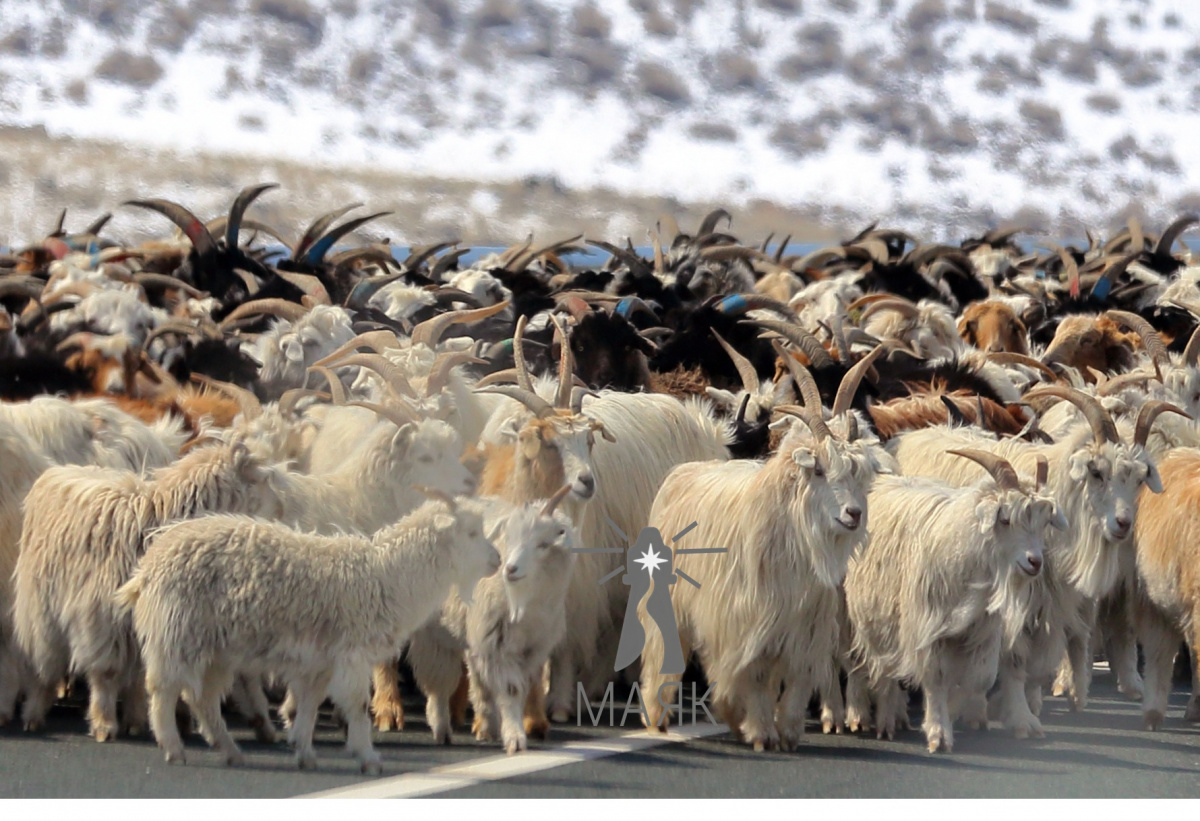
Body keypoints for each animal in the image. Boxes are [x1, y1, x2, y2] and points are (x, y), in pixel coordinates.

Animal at [12, 439, 294, 741]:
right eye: (261, 479)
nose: (281, 513)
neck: (158, 519)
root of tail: (58, 471)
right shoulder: (102, 619)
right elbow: (106, 673)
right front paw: (104, 724)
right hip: (41, 607)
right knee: (46, 663)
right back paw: (34, 713)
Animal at [117, 494, 501, 773]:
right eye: (470, 533)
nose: (497, 560)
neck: (386, 576)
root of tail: (147, 567)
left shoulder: (321, 661)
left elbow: (311, 702)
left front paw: (303, 749)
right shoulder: (351, 653)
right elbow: (356, 705)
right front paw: (368, 757)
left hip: (214, 649)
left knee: (202, 697)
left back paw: (229, 750)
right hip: (177, 633)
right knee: (164, 690)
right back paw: (174, 748)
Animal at [407, 485, 576, 753]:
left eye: (543, 544)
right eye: (509, 539)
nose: (510, 569)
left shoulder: (530, 649)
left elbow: (517, 689)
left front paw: (507, 730)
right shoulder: (498, 643)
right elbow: (511, 689)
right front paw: (515, 738)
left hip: (472, 632)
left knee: (477, 679)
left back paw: (486, 725)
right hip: (435, 632)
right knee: (439, 680)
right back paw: (441, 726)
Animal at [844, 450, 1065, 752]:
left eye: (1044, 523)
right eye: (1005, 519)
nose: (1035, 562)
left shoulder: (981, 629)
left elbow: (979, 678)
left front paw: (958, 711)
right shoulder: (927, 626)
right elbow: (936, 677)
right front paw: (938, 732)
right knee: (874, 666)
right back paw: (878, 718)